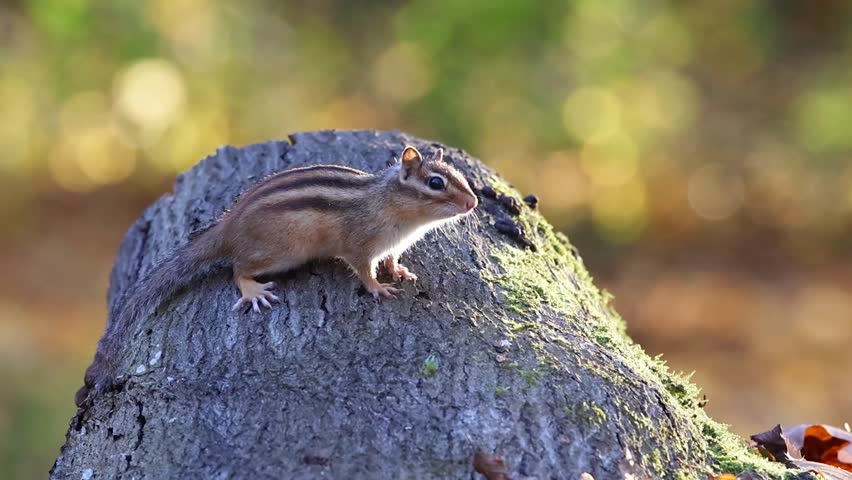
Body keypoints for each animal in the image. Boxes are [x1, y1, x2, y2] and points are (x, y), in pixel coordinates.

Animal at [75, 145, 478, 407]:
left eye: (461, 177)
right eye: (436, 183)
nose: (473, 202)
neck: (393, 206)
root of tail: (229, 226)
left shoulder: (392, 245)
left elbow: (391, 259)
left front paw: (399, 271)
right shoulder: (359, 245)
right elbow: (362, 269)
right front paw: (377, 288)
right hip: (280, 252)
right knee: (237, 268)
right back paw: (252, 290)